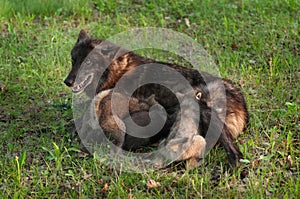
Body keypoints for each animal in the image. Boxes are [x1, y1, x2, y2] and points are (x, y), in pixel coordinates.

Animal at [65, 29, 248, 168]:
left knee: (234, 152)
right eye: (73, 60)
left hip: (206, 110)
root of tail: (241, 103)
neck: (118, 70)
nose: (67, 81)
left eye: (88, 63)